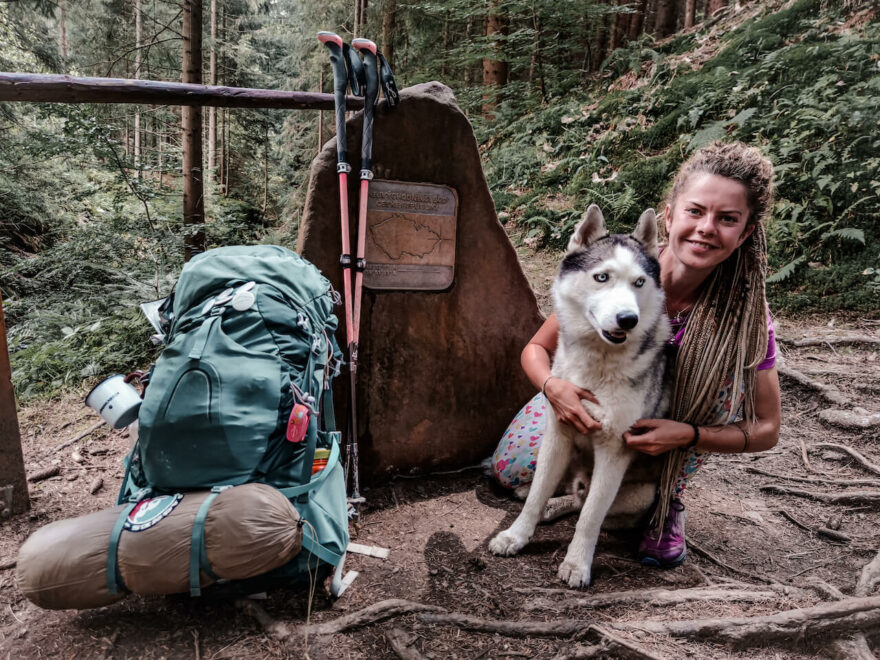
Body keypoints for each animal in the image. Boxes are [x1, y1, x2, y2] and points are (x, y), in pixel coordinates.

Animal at [492, 204, 672, 584]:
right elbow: (535, 497)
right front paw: (516, 536)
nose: (628, 318)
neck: (596, 365)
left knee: (584, 501)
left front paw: (577, 564)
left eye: (639, 282)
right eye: (602, 277)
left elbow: (590, 518)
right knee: (563, 492)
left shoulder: (615, 449)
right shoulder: (558, 432)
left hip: (642, 494)